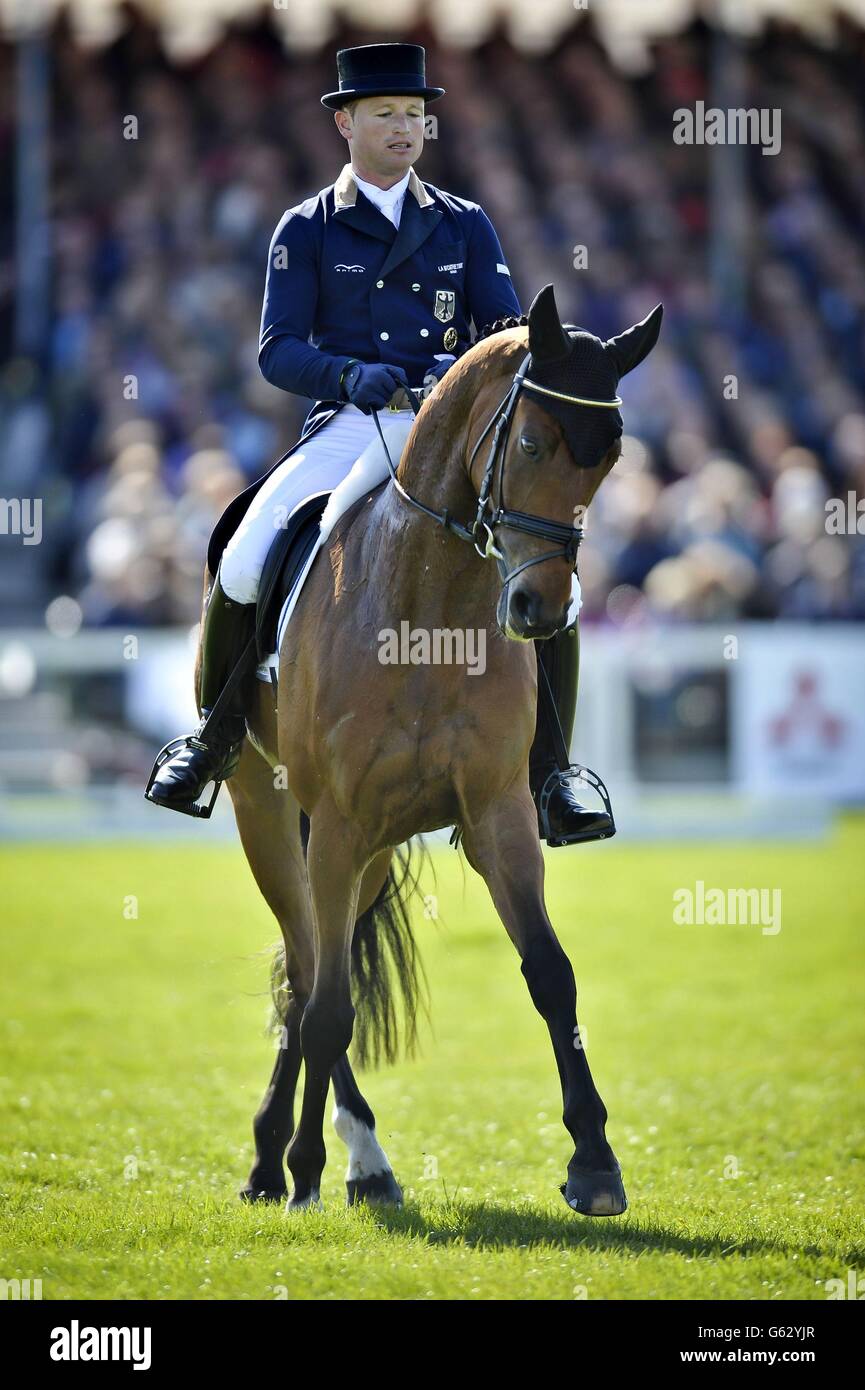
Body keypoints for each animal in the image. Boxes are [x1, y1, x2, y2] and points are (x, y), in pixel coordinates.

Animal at [211, 284, 664, 1217]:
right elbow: (326, 1007)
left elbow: (550, 973)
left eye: (609, 458)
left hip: (372, 850)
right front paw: (307, 1171)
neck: (427, 609)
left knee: (315, 973)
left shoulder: (497, 814)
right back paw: (292, 1161)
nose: (538, 609)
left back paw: (340, 1161)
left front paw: (594, 1163)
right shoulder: (336, 825)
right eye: (528, 442)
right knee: (305, 976)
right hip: (269, 816)